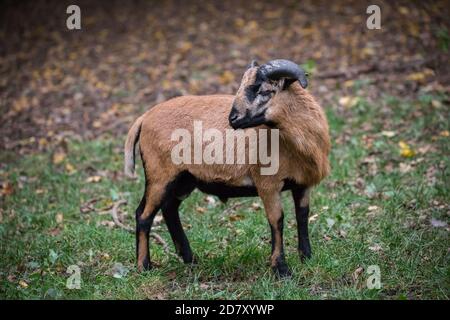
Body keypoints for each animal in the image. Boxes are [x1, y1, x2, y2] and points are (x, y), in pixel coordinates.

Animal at [125, 60, 328, 278]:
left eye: (266, 90)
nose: (233, 118)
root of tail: (144, 117)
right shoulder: (268, 184)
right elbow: (277, 220)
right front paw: (281, 269)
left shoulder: (302, 184)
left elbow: (302, 215)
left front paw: (307, 258)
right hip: (160, 175)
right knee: (143, 215)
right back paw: (144, 266)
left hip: (184, 180)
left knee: (169, 209)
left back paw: (190, 259)